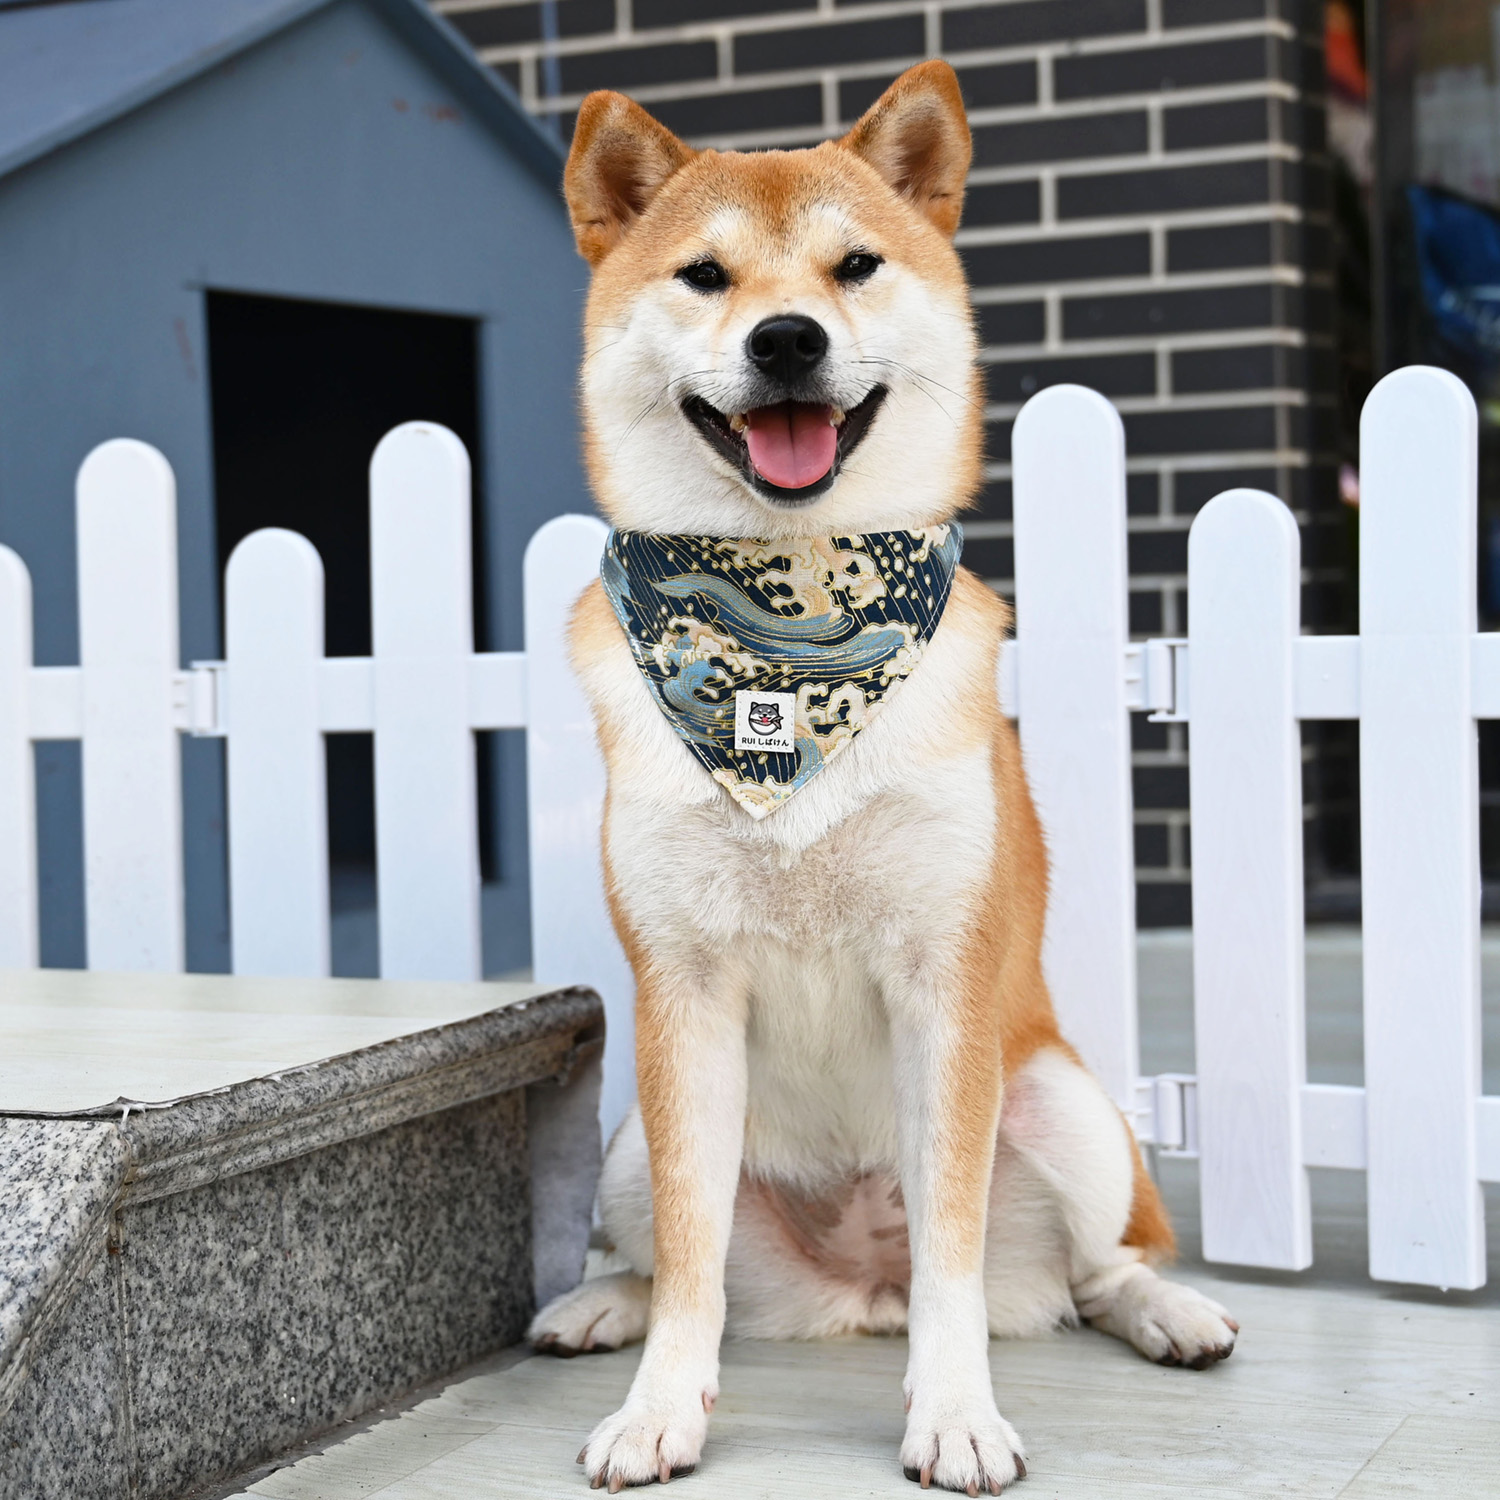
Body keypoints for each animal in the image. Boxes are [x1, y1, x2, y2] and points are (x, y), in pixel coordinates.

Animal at [534, 64, 1236, 1494]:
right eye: (703, 274)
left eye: (854, 265)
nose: (788, 340)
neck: (787, 645)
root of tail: (861, 1290)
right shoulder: (684, 995)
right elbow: (689, 1257)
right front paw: (660, 1407)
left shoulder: (945, 984)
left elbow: (953, 1247)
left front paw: (955, 1412)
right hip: (633, 1142)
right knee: (675, 1256)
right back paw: (603, 1304)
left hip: (1068, 1107)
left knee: (1098, 1270)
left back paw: (1168, 1313)